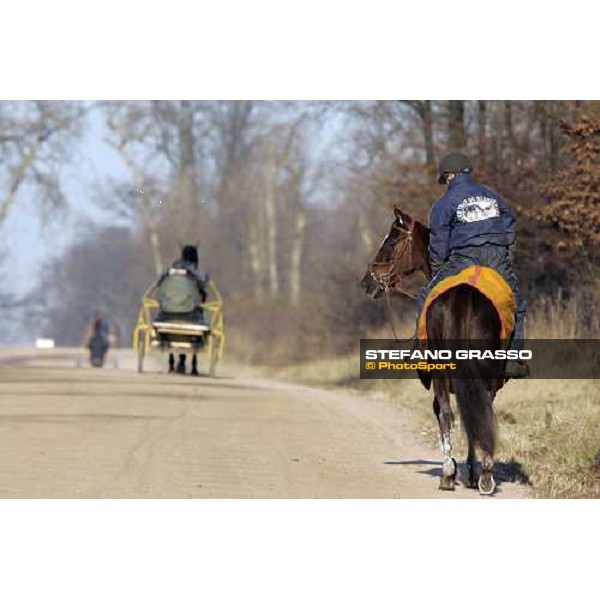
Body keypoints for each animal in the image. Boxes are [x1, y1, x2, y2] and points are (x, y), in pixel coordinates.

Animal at [364, 204, 508, 494]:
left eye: (391, 240)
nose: (367, 281)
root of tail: (464, 297)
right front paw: (469, 472)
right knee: (474, 411)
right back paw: (482, 475)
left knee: (449, 413)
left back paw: (453, 474)